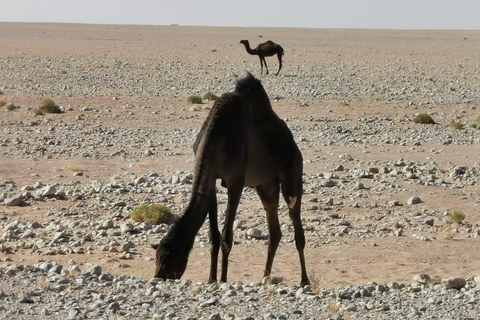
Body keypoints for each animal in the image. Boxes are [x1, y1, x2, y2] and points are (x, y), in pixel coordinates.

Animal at [152, 73, 310, 288]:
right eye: (157, 259)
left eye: (166, 262)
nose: (157, 277)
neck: (218, 136)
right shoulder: (212, 180)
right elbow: (213, 235)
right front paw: (211, 279)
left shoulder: (236, 182)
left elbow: (227, 237)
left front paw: (223, 280)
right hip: (265, 184)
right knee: (274, 228)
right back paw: (265, 277)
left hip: (292, 168)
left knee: (295, 216)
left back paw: (304, 280)